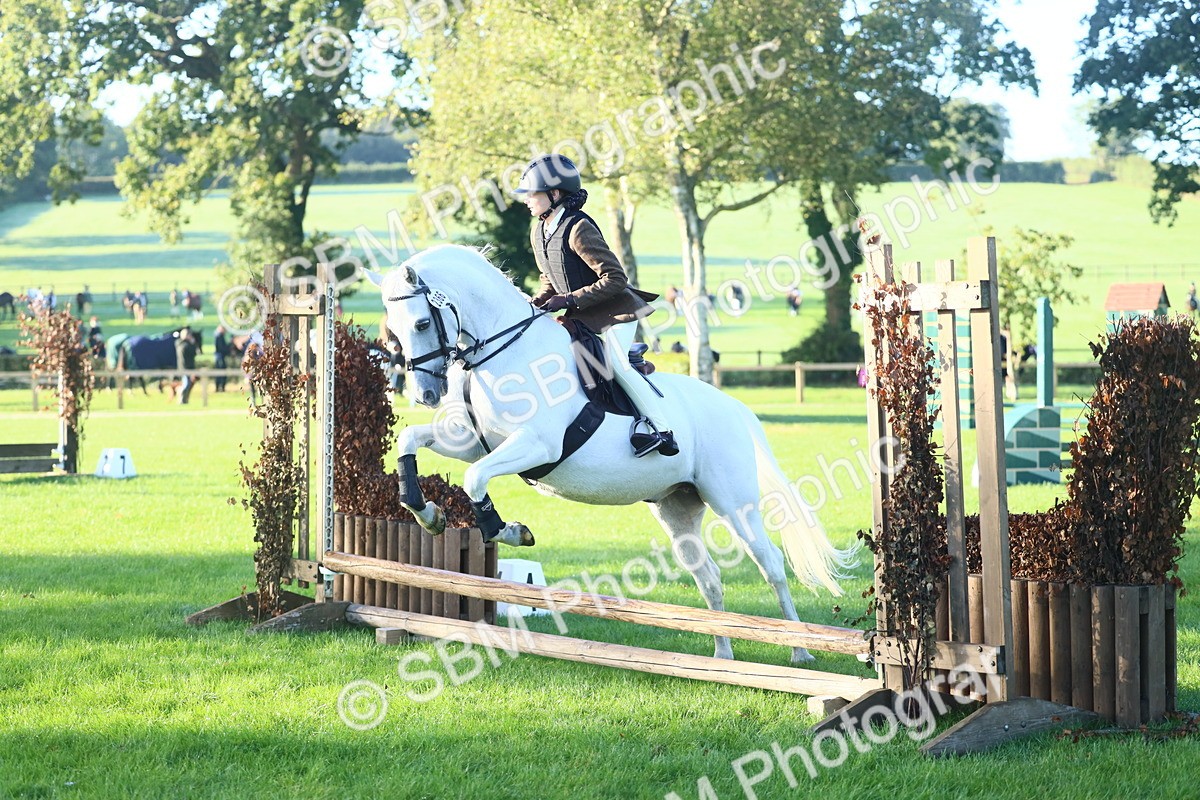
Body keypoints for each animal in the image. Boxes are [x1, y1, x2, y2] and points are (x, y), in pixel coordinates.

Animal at [370, 245, 855, 664]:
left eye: (420, 324)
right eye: (392, 330)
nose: (427, 394)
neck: (504, 352)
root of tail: (734, 406)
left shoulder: (537, 445)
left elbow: (475, 480)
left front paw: (511, 531)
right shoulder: (472, 441)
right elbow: (411, 441)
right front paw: (427, 513)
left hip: (734, 502)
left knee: (770, 563)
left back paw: (799, 650)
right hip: (678, 508)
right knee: (709, 577)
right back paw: (722, 656)